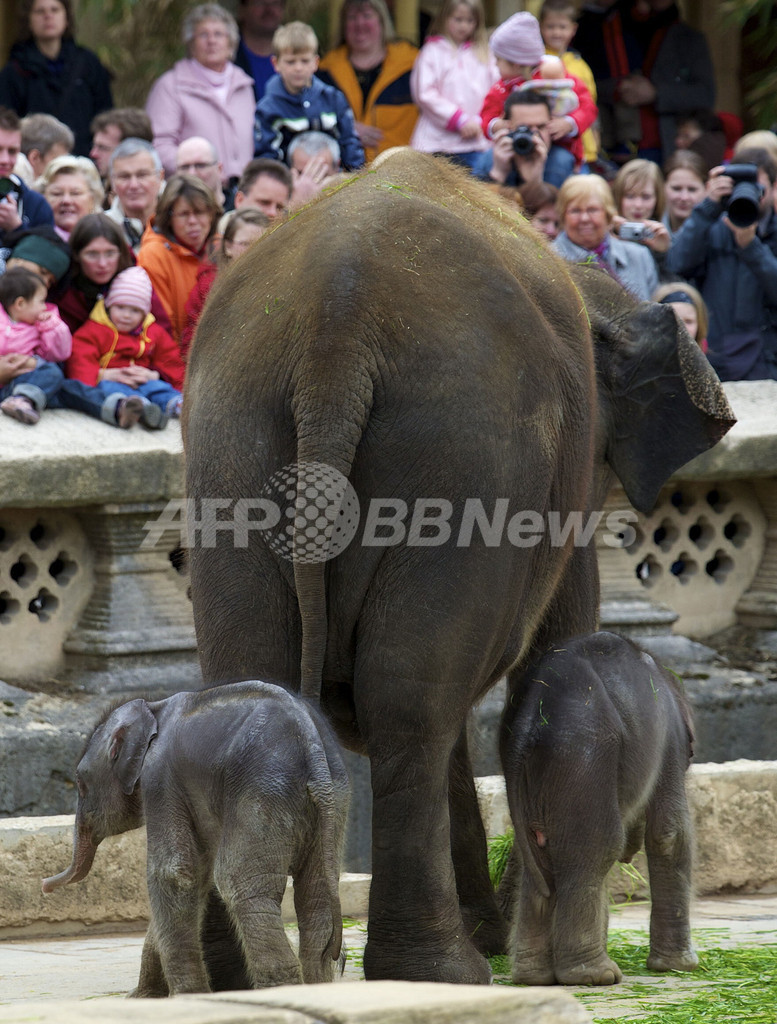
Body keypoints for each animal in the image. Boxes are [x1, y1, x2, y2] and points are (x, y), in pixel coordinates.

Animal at [41, 681, 350, 996]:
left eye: (80, 784)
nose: (44, 886)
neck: (153, 708)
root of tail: (312, 748)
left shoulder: (160, 780)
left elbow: (173, 873)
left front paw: (184, 996)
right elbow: (196, 876)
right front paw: (143, 997)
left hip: (263, 791)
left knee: (240, 884)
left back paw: (280, 990)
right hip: (334, 799)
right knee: (315, 894)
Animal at [500, 630, 698, 986]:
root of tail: (527, 727)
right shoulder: (670, 739)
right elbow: (669, 834)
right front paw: (680, 967)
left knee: (535, 866)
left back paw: (532, 977)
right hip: (583, 762)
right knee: (596, 850)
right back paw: (596, 976)